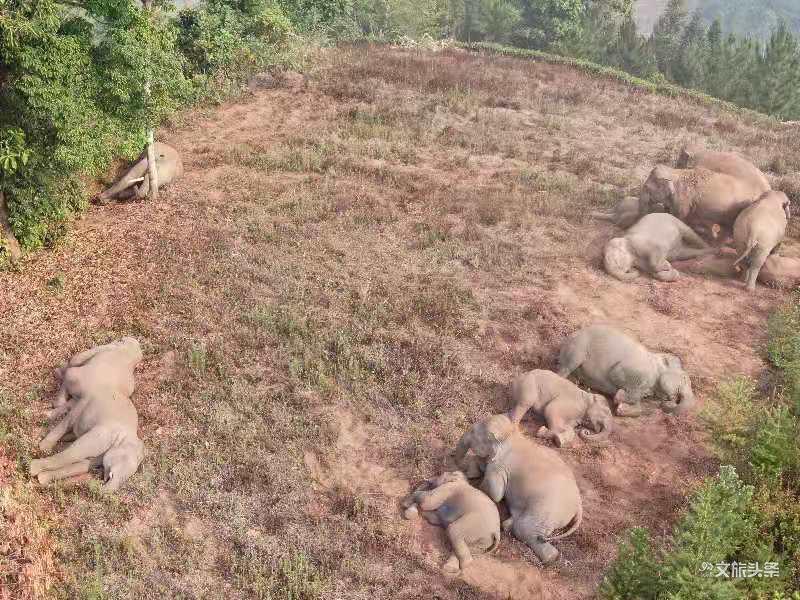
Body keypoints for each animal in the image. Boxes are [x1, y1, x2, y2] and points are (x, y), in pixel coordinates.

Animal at [456, 414, 580, 564]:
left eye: (473, 432)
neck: (511, 434)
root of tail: (579, 506)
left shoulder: (500, 466)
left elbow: (495, 493)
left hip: (547, 511)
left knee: (524, 529)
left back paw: (551, 558)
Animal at [556, 324, 692, 418]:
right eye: (685, 379)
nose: (671, 402)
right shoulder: (638, 371)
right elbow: (617, 375)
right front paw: (619, 397)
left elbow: (639, 405)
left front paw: (621, 409)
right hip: (578, 347)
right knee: (567, 367)